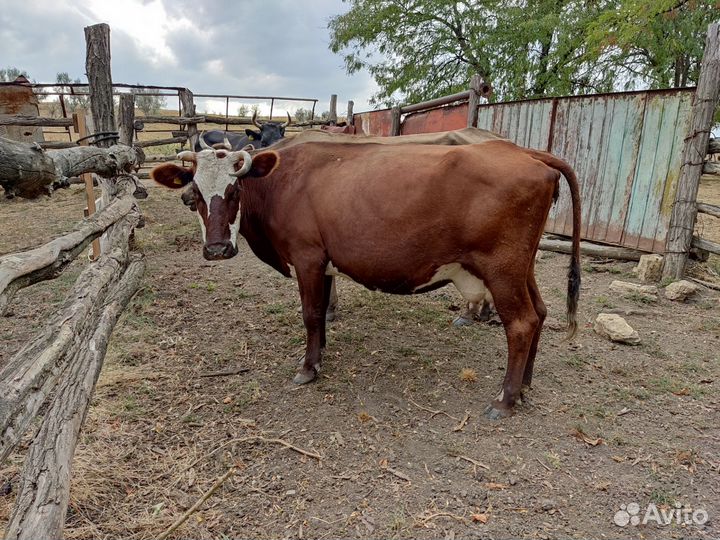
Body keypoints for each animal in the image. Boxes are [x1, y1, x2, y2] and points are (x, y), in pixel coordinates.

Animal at [151, 132, 581, 419]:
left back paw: (505, 399)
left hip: (502, 269)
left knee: (521, 323)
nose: (217, 249)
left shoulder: (306, 257)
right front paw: (320, 354)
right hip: (522, 267)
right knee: (541, 313)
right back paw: (524, 386)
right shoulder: (323, 262)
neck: (281, 181)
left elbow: (310, 314)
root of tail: (524, 152)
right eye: (195, 193)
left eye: (234, 189)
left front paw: (307, 368)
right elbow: (322, 313)